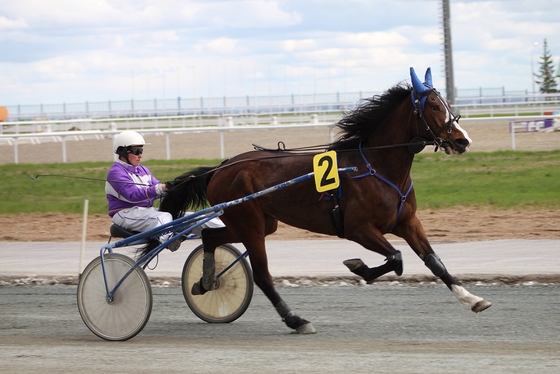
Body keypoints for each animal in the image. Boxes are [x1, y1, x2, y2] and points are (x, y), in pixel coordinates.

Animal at [156, 67, 490, 334]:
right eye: (433, 106)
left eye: (448, 104)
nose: (463, 140)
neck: (376, 166)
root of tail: (221, 167)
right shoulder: (358, 229)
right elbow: (395, 258)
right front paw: (358, 266)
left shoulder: (407, 222)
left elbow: (434, 261)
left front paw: (472, 298)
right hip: (249, 224)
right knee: (262, 275)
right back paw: (296, 320)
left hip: (259, 223)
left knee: (211, 237)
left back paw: (205, 282)